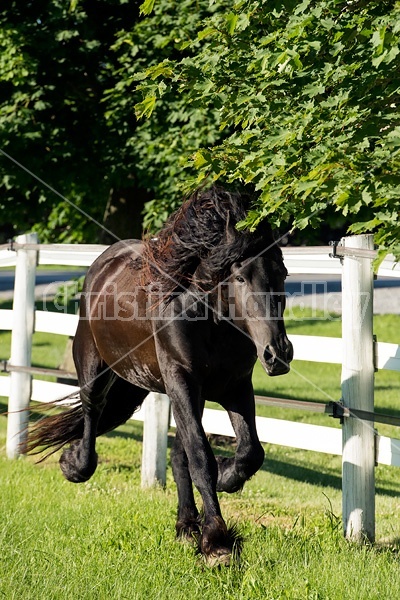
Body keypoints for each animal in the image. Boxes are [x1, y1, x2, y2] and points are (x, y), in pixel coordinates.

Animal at [26, 188, 292, 568]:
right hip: (94, 364)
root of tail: (104, 262)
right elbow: (201, 457)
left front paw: (227, 480)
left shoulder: (235, 386)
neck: (210, 321)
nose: (277, 354)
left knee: (179, 453)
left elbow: (249, 451)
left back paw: (186, 527)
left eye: (282, 272)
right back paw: (74, 464)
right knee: (93, 410)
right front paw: (218, 544)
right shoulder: (182, 381)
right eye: (240, 277)